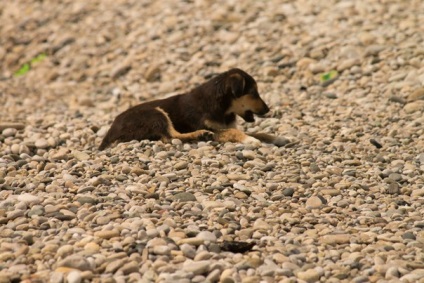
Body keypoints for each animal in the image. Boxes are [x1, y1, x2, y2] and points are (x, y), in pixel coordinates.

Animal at [97, 68, 286, 150]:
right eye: (253, 92)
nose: (267, 110)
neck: (222, 107)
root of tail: (110, 131)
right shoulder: (214, 128)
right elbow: (236, 132)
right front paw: (250, 140)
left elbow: (258, 132)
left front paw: (276, 138)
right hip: (155, 113)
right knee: (170, 137)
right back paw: (199, 135)